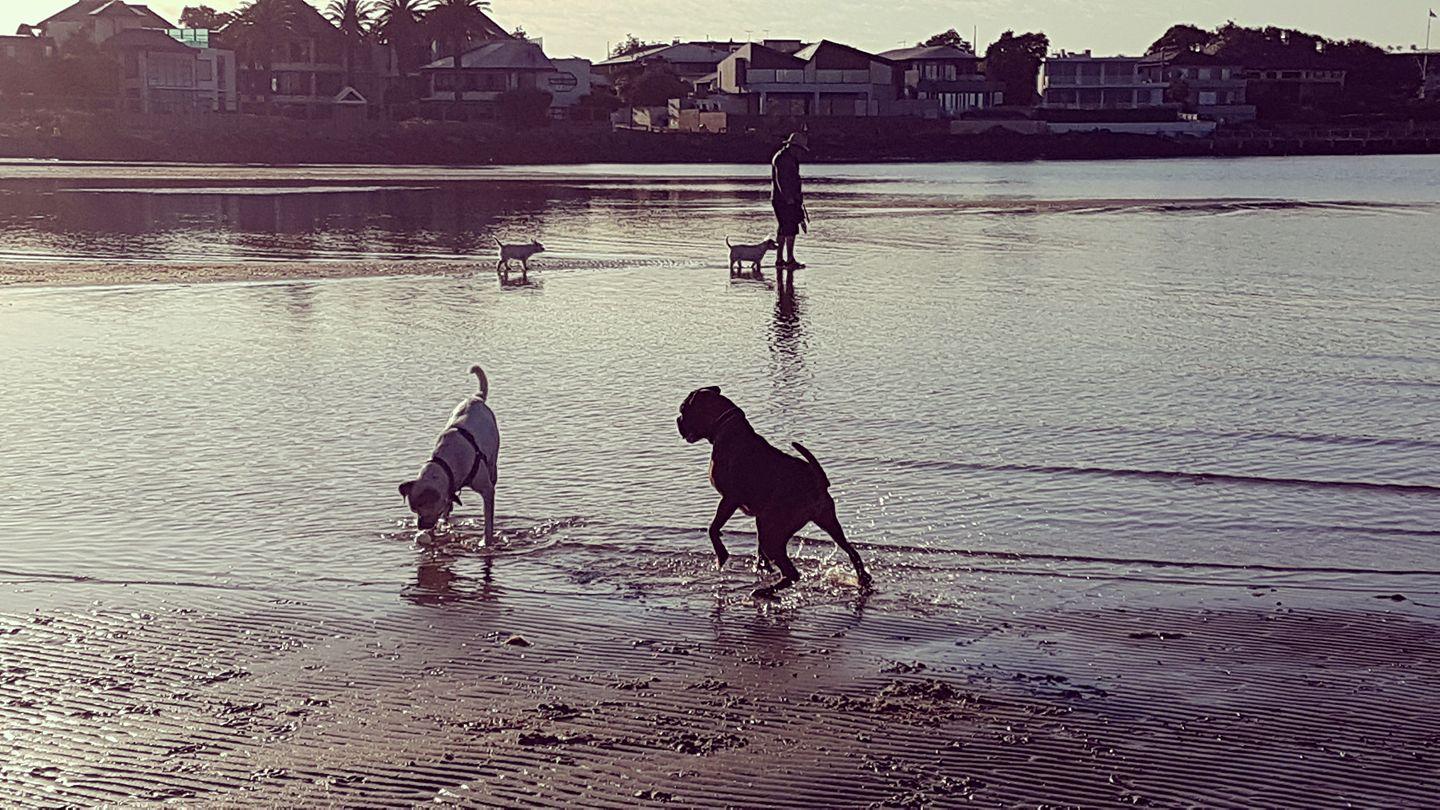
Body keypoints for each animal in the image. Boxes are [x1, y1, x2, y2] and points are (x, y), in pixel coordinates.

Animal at [400, 363, 501, 539]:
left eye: (423, 510)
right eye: (414, 510)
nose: (420, 527)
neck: (446, 462)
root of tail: (476, 397)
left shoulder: (487, 490)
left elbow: (488, 520)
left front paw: (486, 540)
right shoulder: (449, 487)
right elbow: (448, 504)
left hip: (493, 459)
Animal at [673, 383, 864, 593]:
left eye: (684, 409)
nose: (678, 420)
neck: (725, 426)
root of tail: (816, 480)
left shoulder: (729, 499)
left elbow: (713, 529)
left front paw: (722, 555)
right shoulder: (757, 515)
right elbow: (756, 548)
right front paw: (762, 566)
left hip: (772, 533)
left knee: (792, 573)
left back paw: (764, 591)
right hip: (827, 523)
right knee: (852, 552)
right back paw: (863, 579)